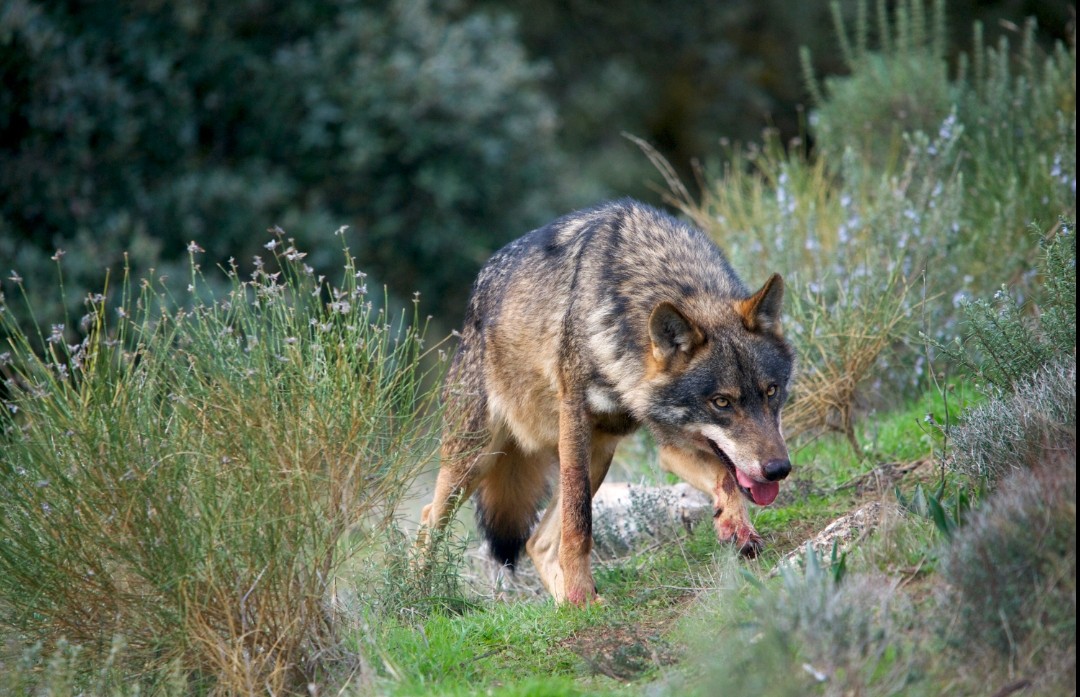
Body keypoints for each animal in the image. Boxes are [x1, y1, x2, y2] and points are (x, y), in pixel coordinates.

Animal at [419, 196, 794, 605]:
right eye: (722, 402)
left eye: (771, 391)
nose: (779, 469)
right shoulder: (575, 419)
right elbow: (579, 525)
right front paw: (581, 591)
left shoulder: (670, 442)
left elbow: (725, 478)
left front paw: (736, 528)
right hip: (476, 459)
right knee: (428, 520)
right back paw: (417, 595)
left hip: (598, 454)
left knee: (537, 543)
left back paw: (568, 606)